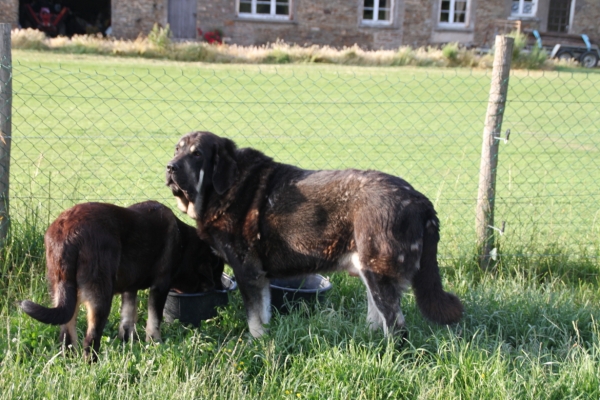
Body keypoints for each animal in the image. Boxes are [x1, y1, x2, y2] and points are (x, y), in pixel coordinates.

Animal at [20, 200, 225, 360]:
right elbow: (154, 321)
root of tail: (68, 234)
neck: (184, 243)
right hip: (101, 297)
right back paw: (92, 364)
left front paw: (126, 342)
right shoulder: (160, 286)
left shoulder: (130, 289)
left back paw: (69, 359)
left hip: (65, 293)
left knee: (67, 335)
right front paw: (155, 343)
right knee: (91, 340)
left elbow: (127, 319)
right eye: (218, 270)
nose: (221, 289)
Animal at [165, 131, 464, 338]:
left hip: (380, 274)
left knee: (397, 327)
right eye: (177, 149)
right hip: (370, 273)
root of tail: (420, 201)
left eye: (197, 154)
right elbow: (263, 315)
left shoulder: (248, 272)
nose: (170, 167)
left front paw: (256, 345)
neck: (224, 189)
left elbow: (254, 320)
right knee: (377, 318)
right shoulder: (259, 278)